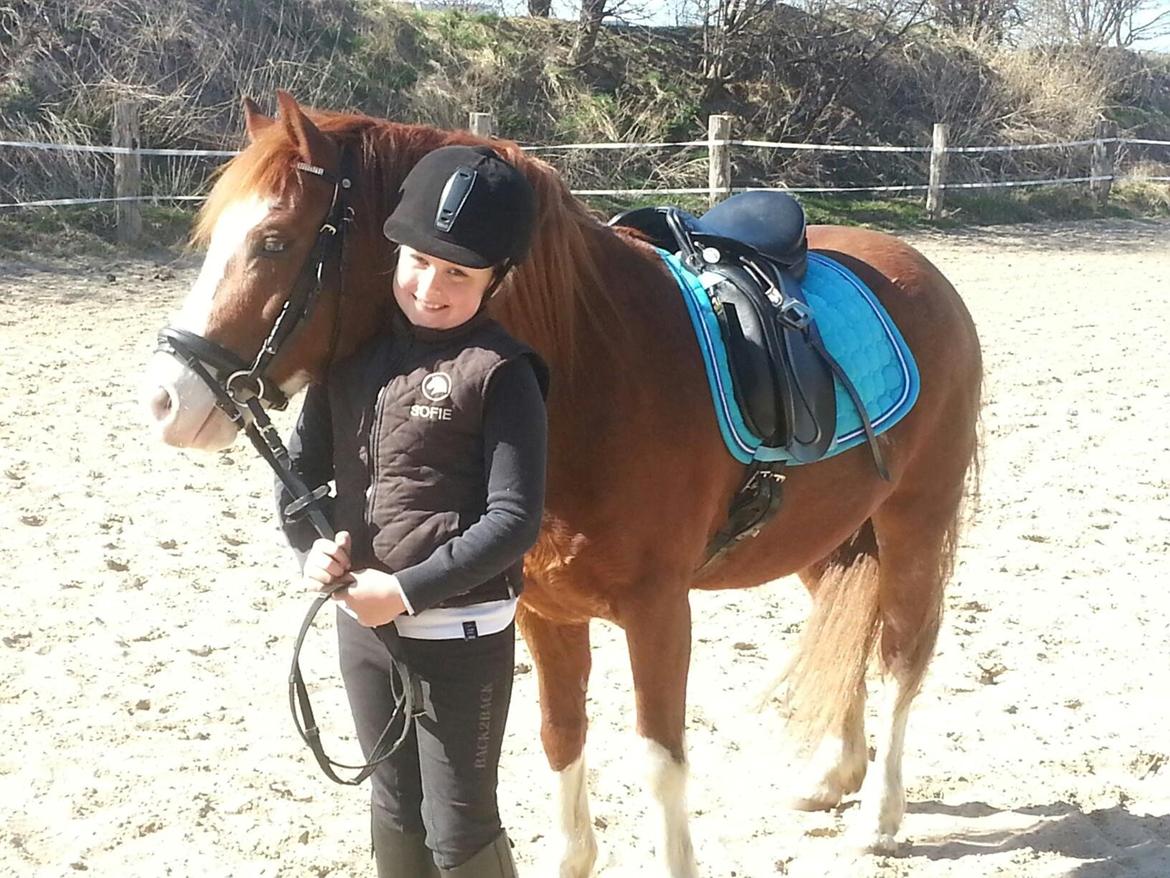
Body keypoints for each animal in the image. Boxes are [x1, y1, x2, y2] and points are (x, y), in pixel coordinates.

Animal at [141, 91, 982, 876]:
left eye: (273, 241)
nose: (165, 401)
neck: (588, 370)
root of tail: (921, 272)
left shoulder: (658, 611)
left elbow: (660, 762)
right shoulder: (544, 610)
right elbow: (559, 736)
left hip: (914, 521)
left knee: (903, 653)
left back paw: (879, 817)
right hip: (826, 537)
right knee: (854, 622)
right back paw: (834, 776)